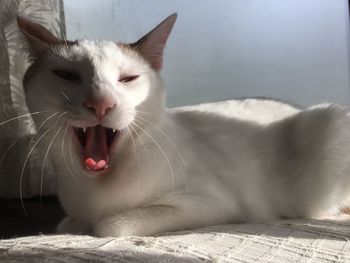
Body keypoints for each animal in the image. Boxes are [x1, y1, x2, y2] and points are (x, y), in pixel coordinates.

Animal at [17, 13, 350, 237]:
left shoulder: (209, 204)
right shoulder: (72, 215)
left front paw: (94, 227)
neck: (93, 189)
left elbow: (109, 226)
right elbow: (65, 225)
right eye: (67, 75)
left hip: (330, 123)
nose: (101, 104)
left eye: (128, 79)